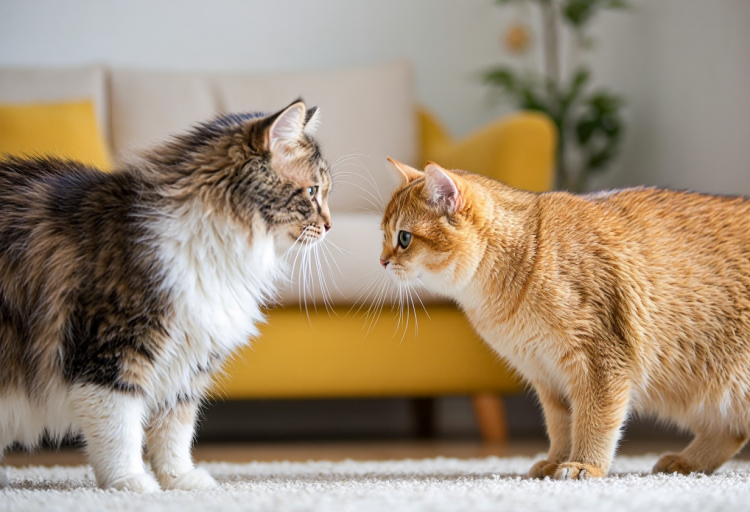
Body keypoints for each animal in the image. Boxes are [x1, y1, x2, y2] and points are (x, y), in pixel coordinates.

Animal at [0, 100, 332, 492]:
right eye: (312, 192)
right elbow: (120, 430)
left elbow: (174, 431)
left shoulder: (188, 362)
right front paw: (131, 483)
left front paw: (180, 480)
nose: (330, 225)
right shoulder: (113, 349)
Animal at [380, 157, 750, 480]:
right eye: (383, 236)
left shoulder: (601, 361)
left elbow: (595, 420)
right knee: (731, 431)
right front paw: (556, 461)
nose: (382, 261)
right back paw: (686, 462)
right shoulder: (548, 378)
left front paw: (586, 465)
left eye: (404, 238)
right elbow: (561, 427)